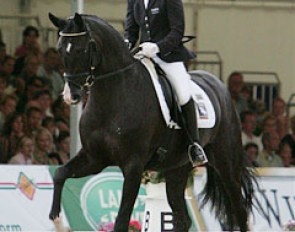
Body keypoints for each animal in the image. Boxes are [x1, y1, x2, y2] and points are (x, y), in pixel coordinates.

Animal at [49, 12, 256, 232]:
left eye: (81, 49)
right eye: (60, 49)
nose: (70, 95)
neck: (114, 97)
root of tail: (218, 84)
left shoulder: (133, 165)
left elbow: (121, 221)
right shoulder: (94, 158)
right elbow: (60, 173)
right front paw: (57, 218)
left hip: (226, 163)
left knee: (240, 210)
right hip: (177, 168)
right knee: (183, 219)